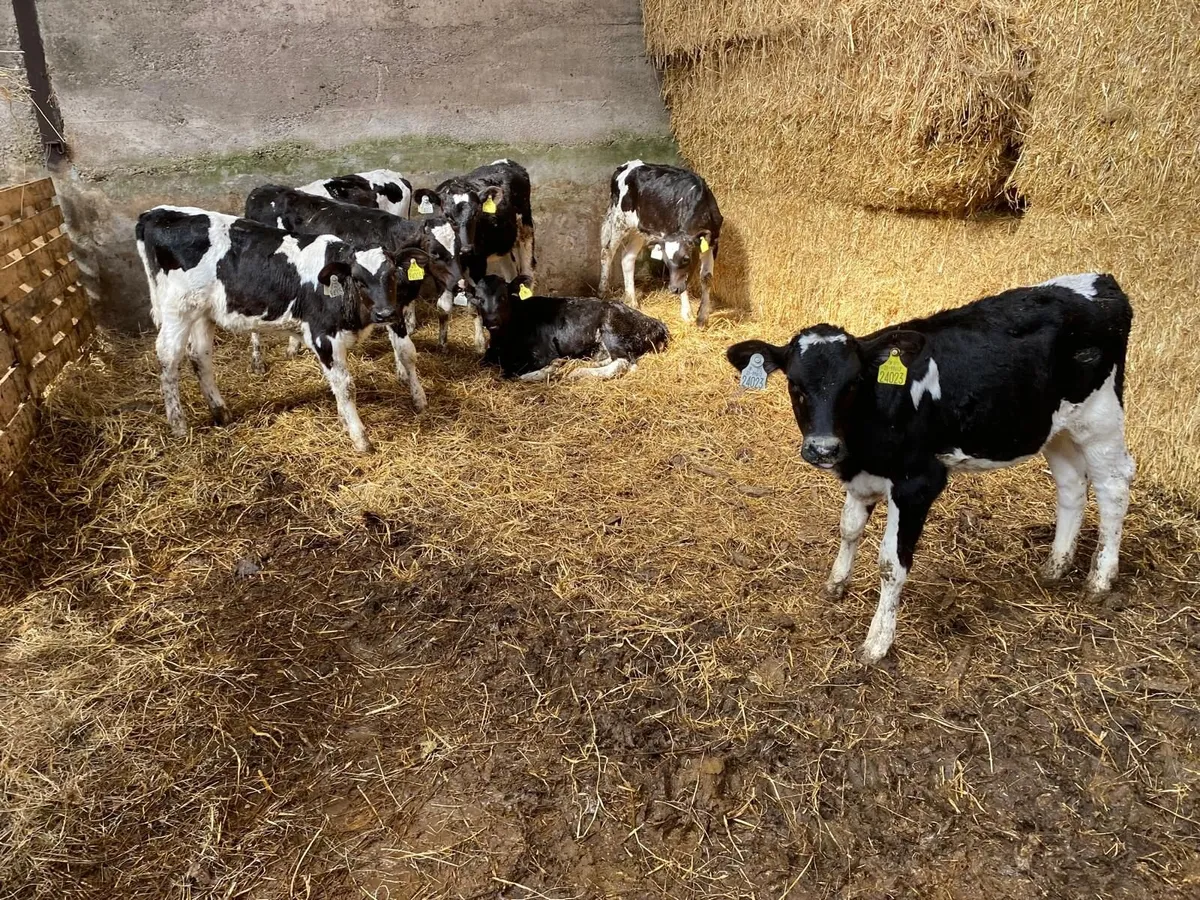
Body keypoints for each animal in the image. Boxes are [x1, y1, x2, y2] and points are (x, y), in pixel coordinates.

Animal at [136, 206, 433, 453]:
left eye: (392, 275)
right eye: (358, 280)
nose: (384, 313)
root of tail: (155, 213)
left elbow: (405, 354)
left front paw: (416, 401)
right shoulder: (323, 336)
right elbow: (345, 385)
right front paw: (360, 438)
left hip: (202, 313)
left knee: (200, 356)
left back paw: (221, 412)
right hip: (177, 310)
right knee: (169, 358)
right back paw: (178, 424)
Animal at [412, 159, 536, 350]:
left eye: (477, 212)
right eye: (447, 214)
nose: (467, 249)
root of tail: (507, 162)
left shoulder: (478, 265)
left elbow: (476, 303)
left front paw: (480, 344)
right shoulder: (438, 270)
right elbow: (443, 306)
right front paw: (442, 344)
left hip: (525, 229)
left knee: (528, 274)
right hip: (503, 245)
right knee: (511, 274)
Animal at [469, 274, 669, 381]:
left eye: (503, 297)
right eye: (478, 299)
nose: (492, 321)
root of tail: (654, 322)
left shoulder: (543, 354)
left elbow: (510, 372)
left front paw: (551, 368)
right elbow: (488, 361)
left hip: (613, 332)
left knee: (623, 363)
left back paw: (577, 372)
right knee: (611, 360)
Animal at [599, 160, 723, 326]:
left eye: (686, 259)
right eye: (665, 260)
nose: (673, 289)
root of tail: (626, 165)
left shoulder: (713, 242)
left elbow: (707, 278)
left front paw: (703, 317)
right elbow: (685, 281)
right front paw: (687, 313)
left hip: (640, 228)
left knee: (627, 258)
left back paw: (632, 301)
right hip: (619, 220)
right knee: (607, 252)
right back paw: (602, 292)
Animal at [726, 273, 1136, 664]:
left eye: (853, 383)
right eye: (795, 384)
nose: (823, 448)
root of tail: (1103, 282)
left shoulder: (917, 484)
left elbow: (891, 564)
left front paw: (877, 642)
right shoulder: (862, 476)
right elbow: (848, 529)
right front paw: (836, 583)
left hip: (1099, 419)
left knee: (1113, 485)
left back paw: (1100, 580)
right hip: (1053, 427)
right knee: (1071, 484)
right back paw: (1056, 565)